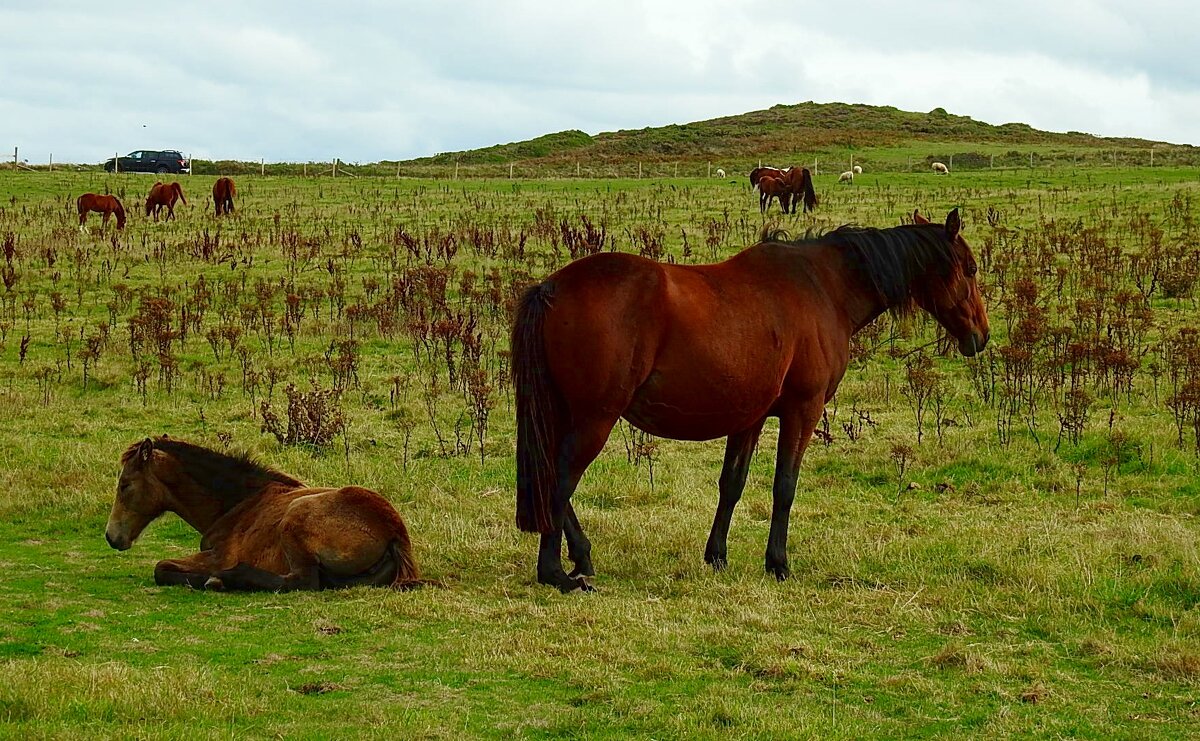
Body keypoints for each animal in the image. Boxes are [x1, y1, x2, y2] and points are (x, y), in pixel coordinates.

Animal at [108, 436, 424, 592]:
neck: (239, 502)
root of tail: (394, 530)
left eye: (125, 485)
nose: (112, 537)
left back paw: (226, 579)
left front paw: (209, 578)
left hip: (296, 516)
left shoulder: (217, 555)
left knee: (303, 582)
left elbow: (161, 568)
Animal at [511, 206, 988, 587]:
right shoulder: (802, 411)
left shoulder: (750, 417)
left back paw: (582, 556)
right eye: (969, 267)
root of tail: (552, 287)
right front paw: (777, 563)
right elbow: (784, 486)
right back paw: (555, 573)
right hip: (597, 417)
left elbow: (732, 484)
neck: (823, 288)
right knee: (560, 480)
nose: (980, 336)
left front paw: (717, 555)